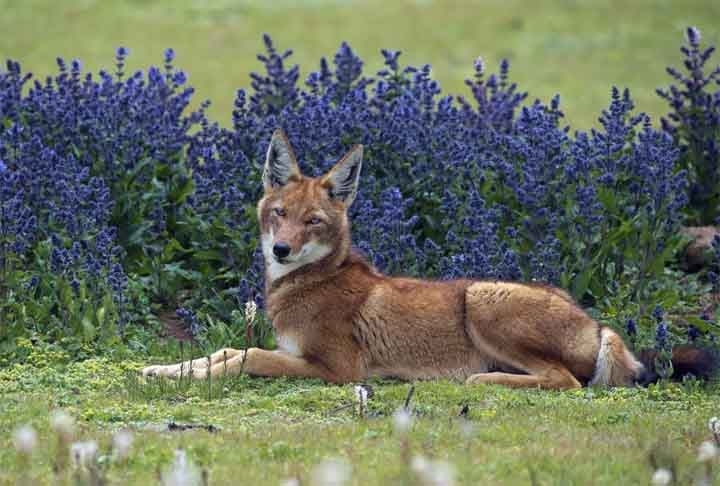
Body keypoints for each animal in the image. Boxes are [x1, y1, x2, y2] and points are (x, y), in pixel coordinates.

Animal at [142, 130, 716, 392]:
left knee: (564, 382)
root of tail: (596, 323)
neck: (306, 282)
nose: (281, 250)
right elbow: (219, 353)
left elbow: (243, 359)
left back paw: (483, 381)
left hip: (482, 299)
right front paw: (162, 370)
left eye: (313, 222)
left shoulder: (339, 370)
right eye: (279, 214)